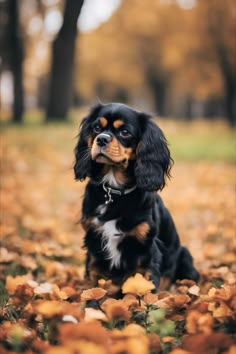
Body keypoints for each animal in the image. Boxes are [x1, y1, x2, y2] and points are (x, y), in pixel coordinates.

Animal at [74, 103, 199, 294]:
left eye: (125, 132)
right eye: (96, 128)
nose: (101, 139)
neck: (114, 191)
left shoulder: (146, 247)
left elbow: (146, 287)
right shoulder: (93, 240)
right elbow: (94, 280)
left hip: (185, 257)